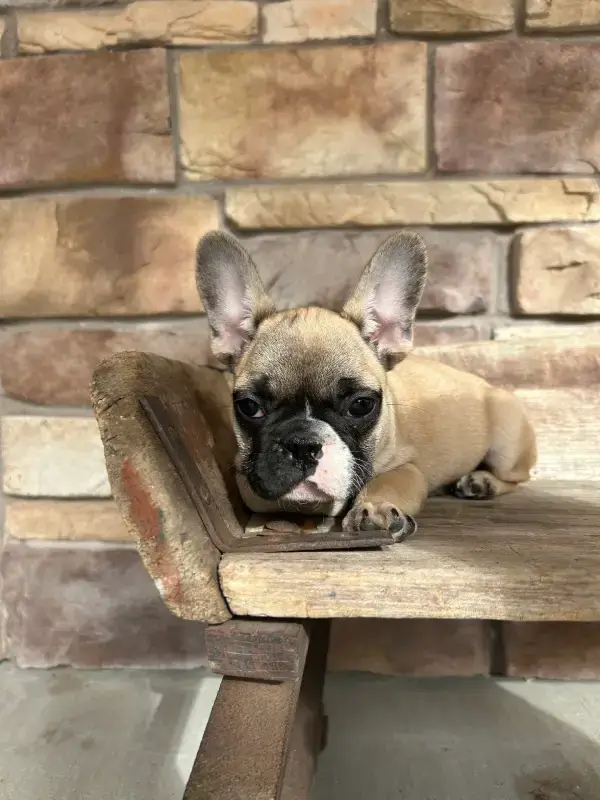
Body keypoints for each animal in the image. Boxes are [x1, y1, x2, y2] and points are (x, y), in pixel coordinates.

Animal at [195, 230, 537, 540]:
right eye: (249, 407)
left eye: (361, 405)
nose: (303, 444)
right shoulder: (250, 478)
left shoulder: (407, 467)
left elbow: (385, 481)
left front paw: (374, 507)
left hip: (506, 442)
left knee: (520, 477)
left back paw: (482, 483)